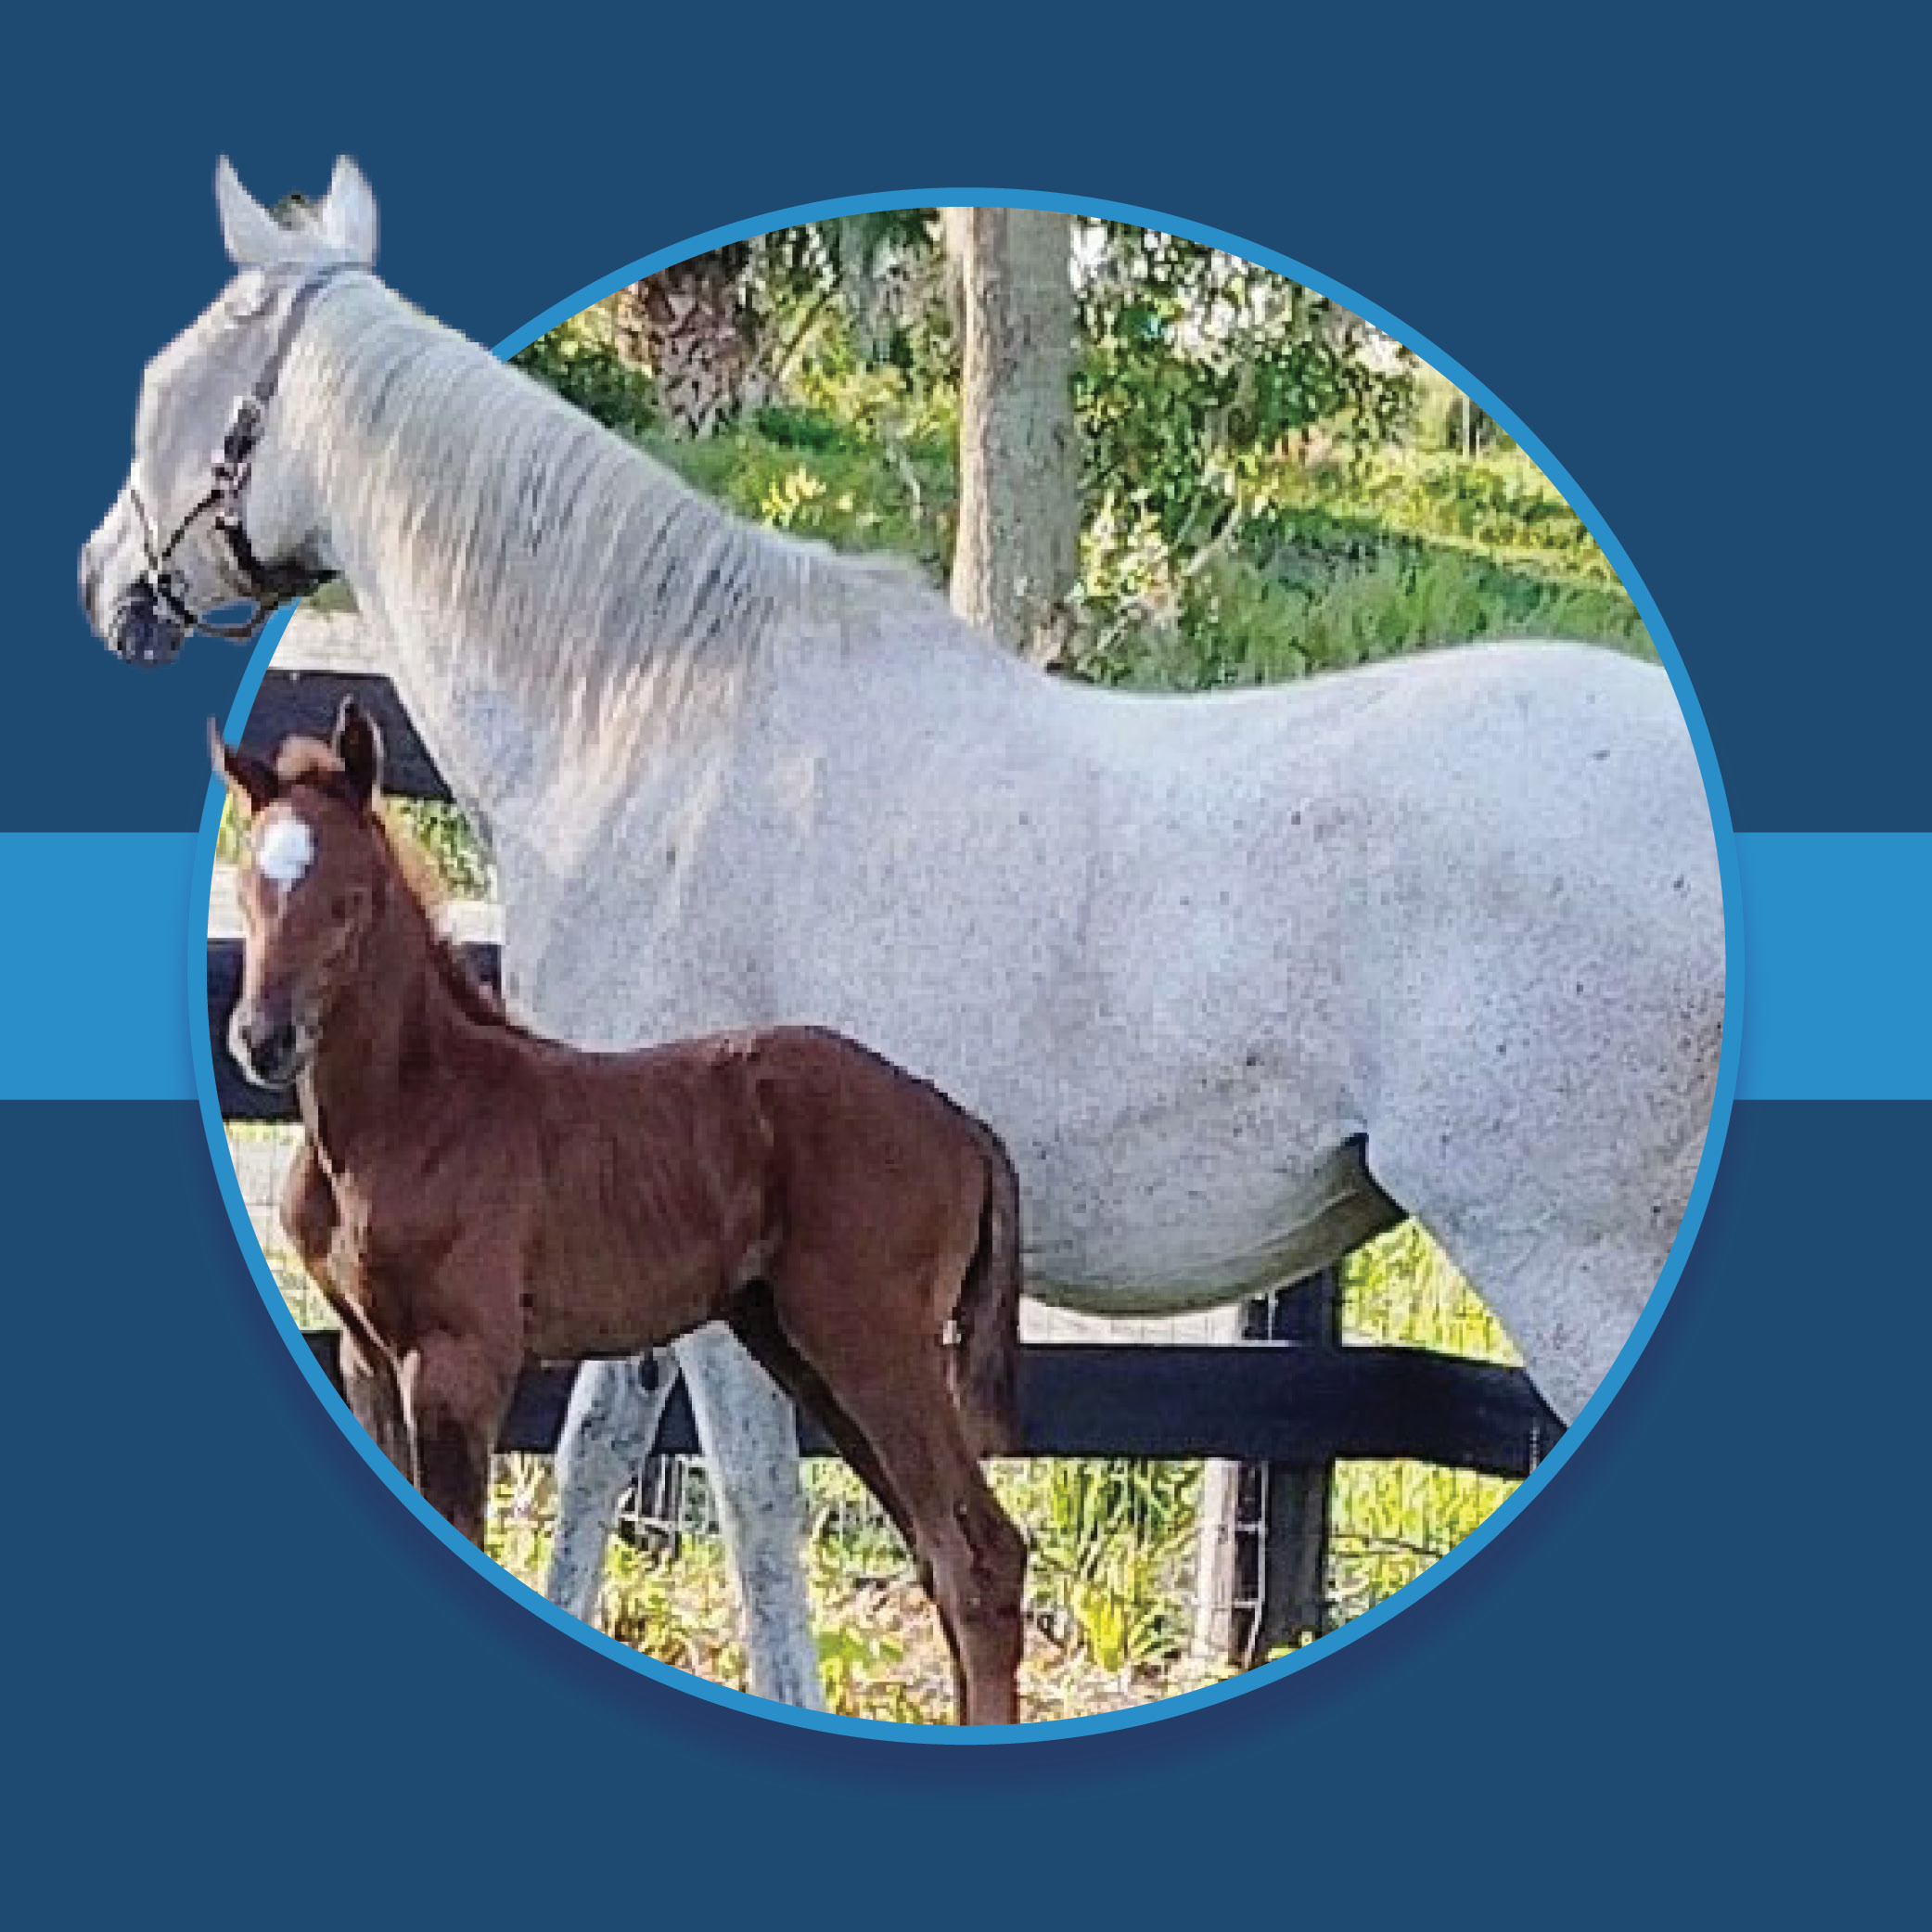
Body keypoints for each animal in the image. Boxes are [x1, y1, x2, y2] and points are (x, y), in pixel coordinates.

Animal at [212, 700, 1030, 1725]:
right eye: (248, 888)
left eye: (348, 900)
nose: (264, 1040)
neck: (412, 1109)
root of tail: (960, 1122)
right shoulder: (365, 1353)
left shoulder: (460, 1358)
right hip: (800, 1346)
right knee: (939, 1549)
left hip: (873, 1342)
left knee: (977, 1557)